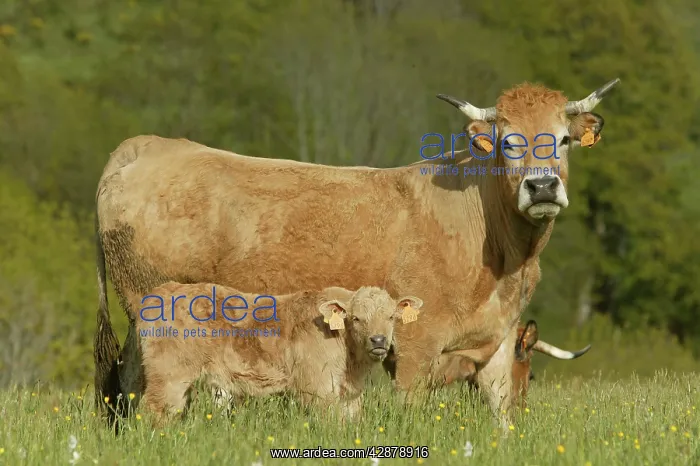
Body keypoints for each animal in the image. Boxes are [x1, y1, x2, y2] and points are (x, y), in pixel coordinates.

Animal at [135, 283, 422, 426]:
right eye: (356, 318)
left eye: (391, 317)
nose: (378, 340)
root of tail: (163, 290)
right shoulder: (317, 389)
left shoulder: (348, 394)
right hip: (168, 375)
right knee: (154, 410)